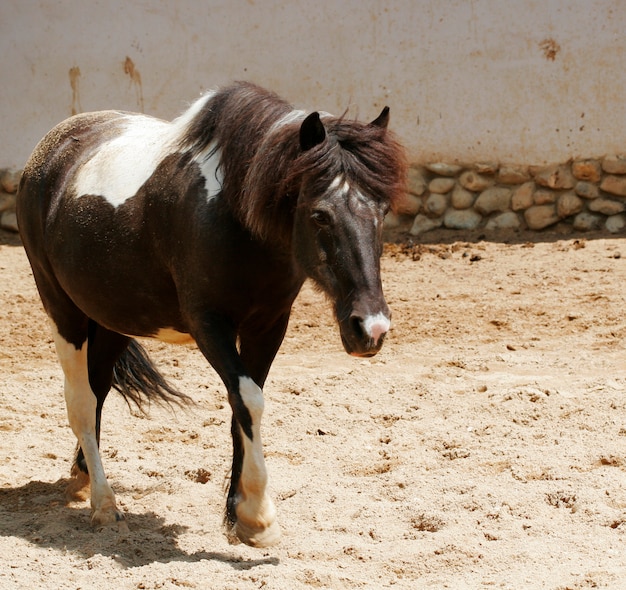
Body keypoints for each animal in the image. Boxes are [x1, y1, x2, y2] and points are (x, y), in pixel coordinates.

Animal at [15, 81, 404, 548]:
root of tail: (51, 147)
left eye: (383, 211)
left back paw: (82, 476)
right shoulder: (209, 326)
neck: (233, 216)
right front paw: (258, 516)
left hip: (111, 322)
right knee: (80, 400)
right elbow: (249, 400)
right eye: (320, 215)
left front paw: (238, 515)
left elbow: (244, 407)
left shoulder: (267, 327)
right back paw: (104, 504)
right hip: (63, 312)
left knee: (98, 392)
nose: (371, 329)